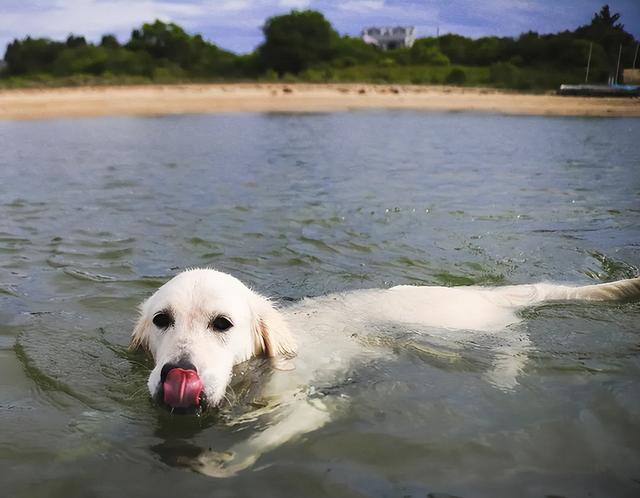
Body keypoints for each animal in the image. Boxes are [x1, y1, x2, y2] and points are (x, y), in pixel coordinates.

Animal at [131, 270, 640, 476]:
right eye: (161, 320)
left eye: (223, 324)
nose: (178, 372)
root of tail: (482, 292)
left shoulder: (309, 407)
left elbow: (253, 446)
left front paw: (217, 462)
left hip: (467, 332)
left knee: (516, 342)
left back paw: (505, 375)